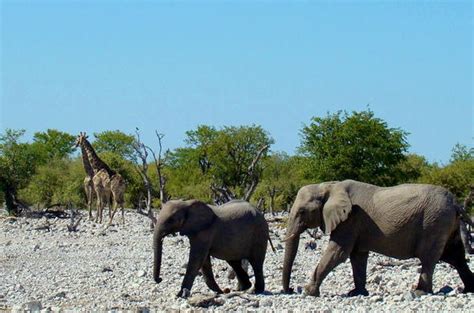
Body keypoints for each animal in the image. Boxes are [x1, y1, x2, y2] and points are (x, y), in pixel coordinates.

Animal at [282, 179, 474, 296]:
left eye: (302, 212)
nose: (291, 290)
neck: (329, 186)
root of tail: (455, 202)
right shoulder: (355, 224)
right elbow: (357, 256)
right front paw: (357, 293)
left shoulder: (350, 220)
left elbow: (338, 252)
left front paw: (308, 292)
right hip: (446, 223)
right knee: (455, 256)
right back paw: (468, 290)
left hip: (434, 222)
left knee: (429, 258)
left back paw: (418, 293)